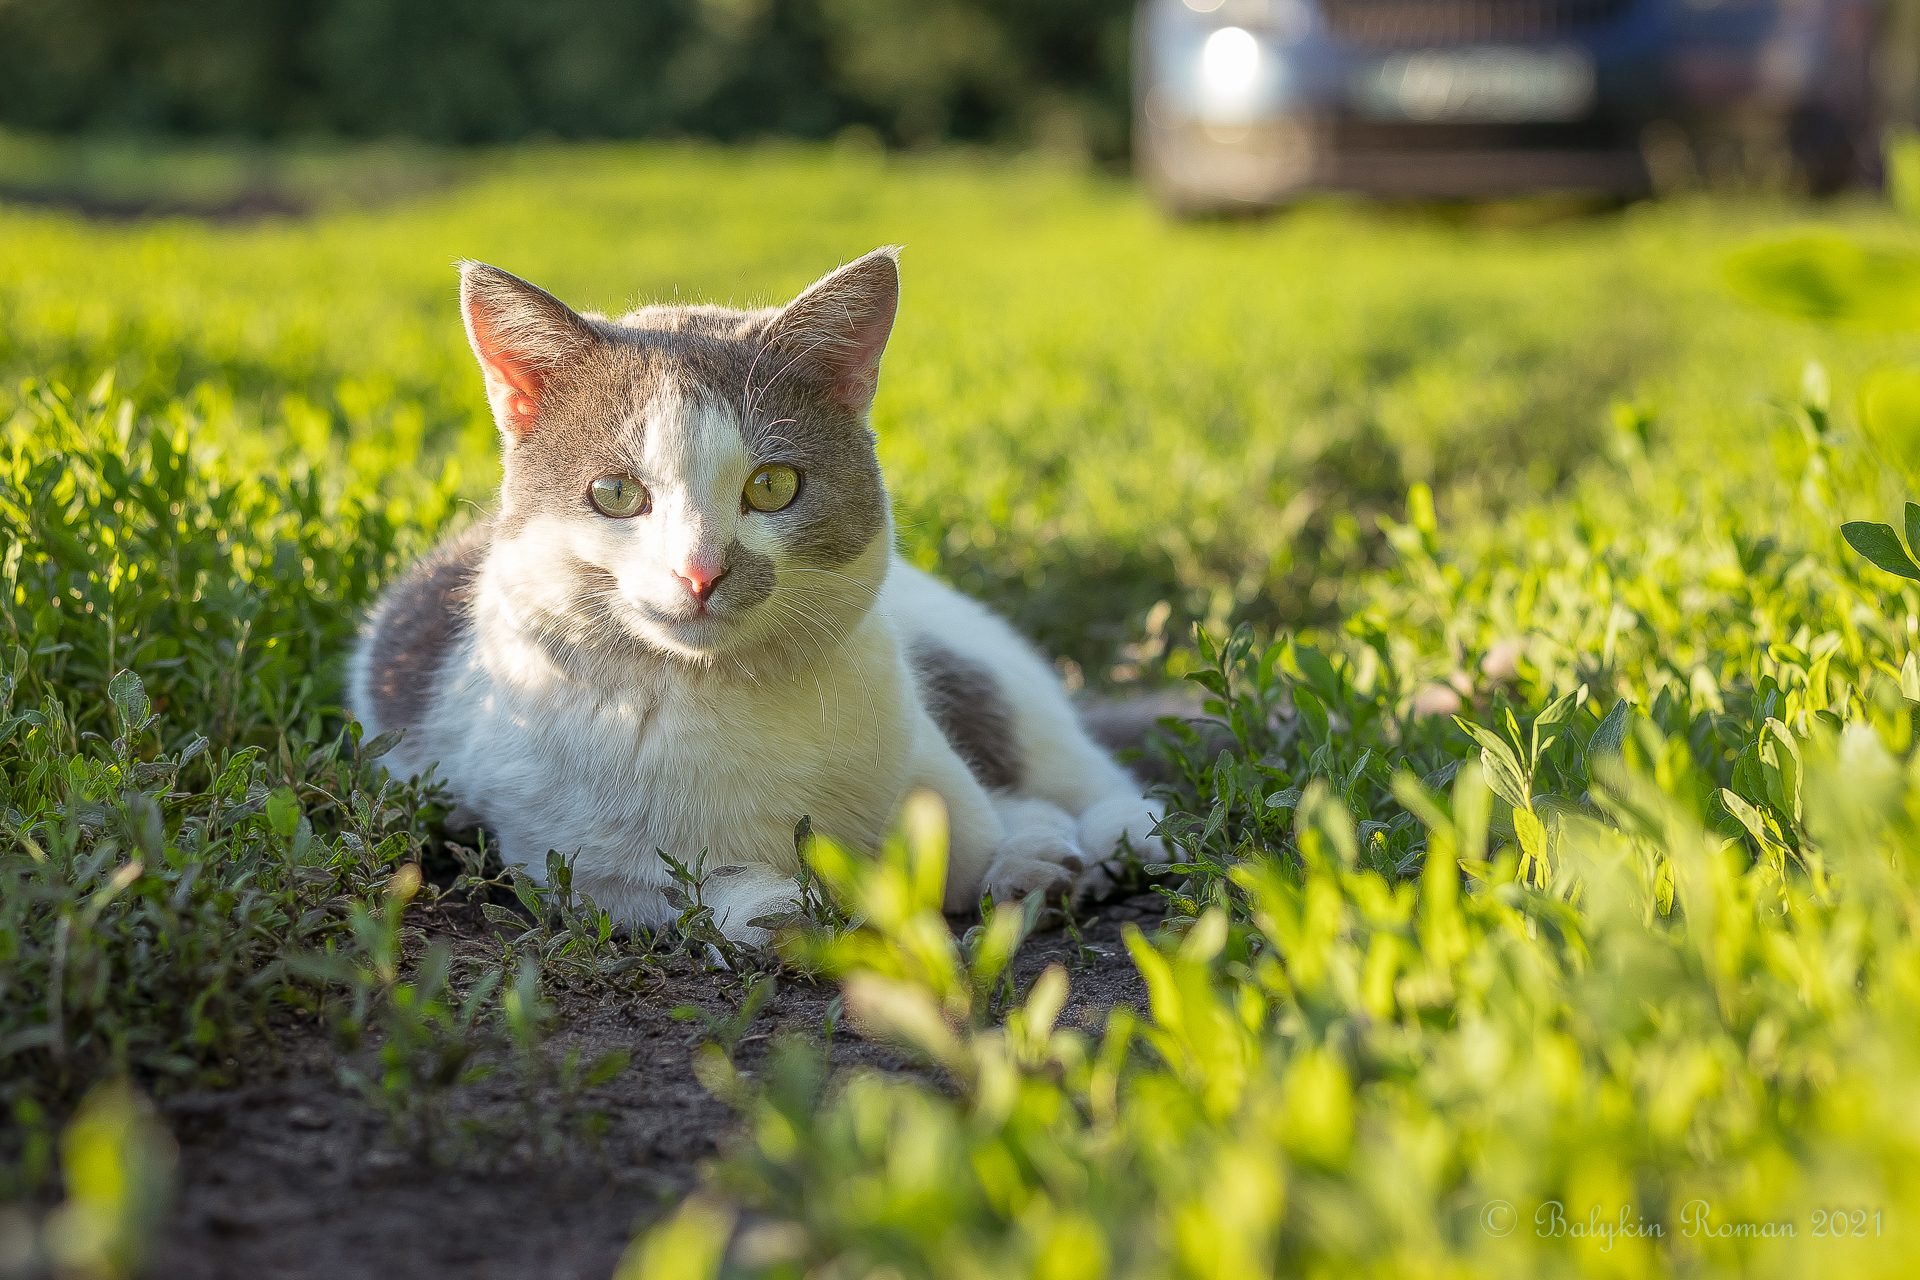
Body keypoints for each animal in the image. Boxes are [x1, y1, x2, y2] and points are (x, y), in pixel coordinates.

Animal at [351, 249, 1159, 948]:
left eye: (772, 486)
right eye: (615, 494)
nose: (700, 570)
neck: (724, 692)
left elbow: (975, 828)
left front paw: (1022, 861)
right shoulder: (557, 853)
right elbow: (676, 886)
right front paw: (786, 905)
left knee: (1077, 771)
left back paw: (1105, 843)